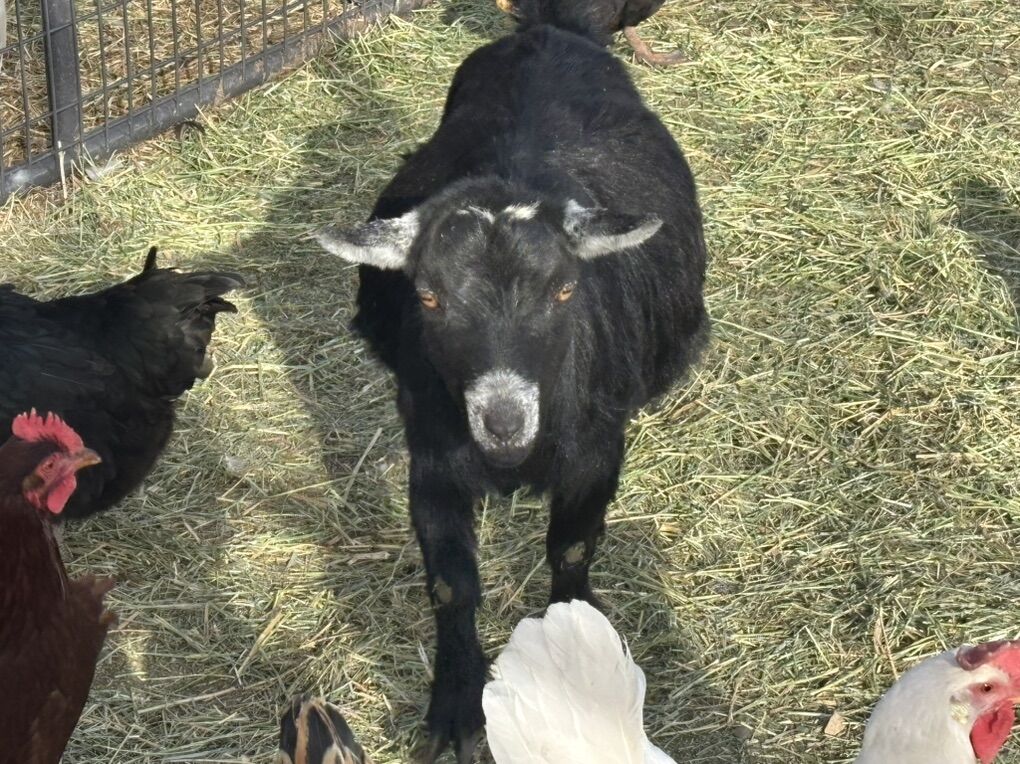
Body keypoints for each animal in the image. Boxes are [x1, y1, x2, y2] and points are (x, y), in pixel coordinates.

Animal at [315, 17, 708, 764]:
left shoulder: (597, 452)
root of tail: (549, 31)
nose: (502, 419)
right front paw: (455, 706)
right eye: (429, 296)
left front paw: (576, 651)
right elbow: (450, 583)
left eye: (564, 290)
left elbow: (573, 548)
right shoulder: (432, 459)